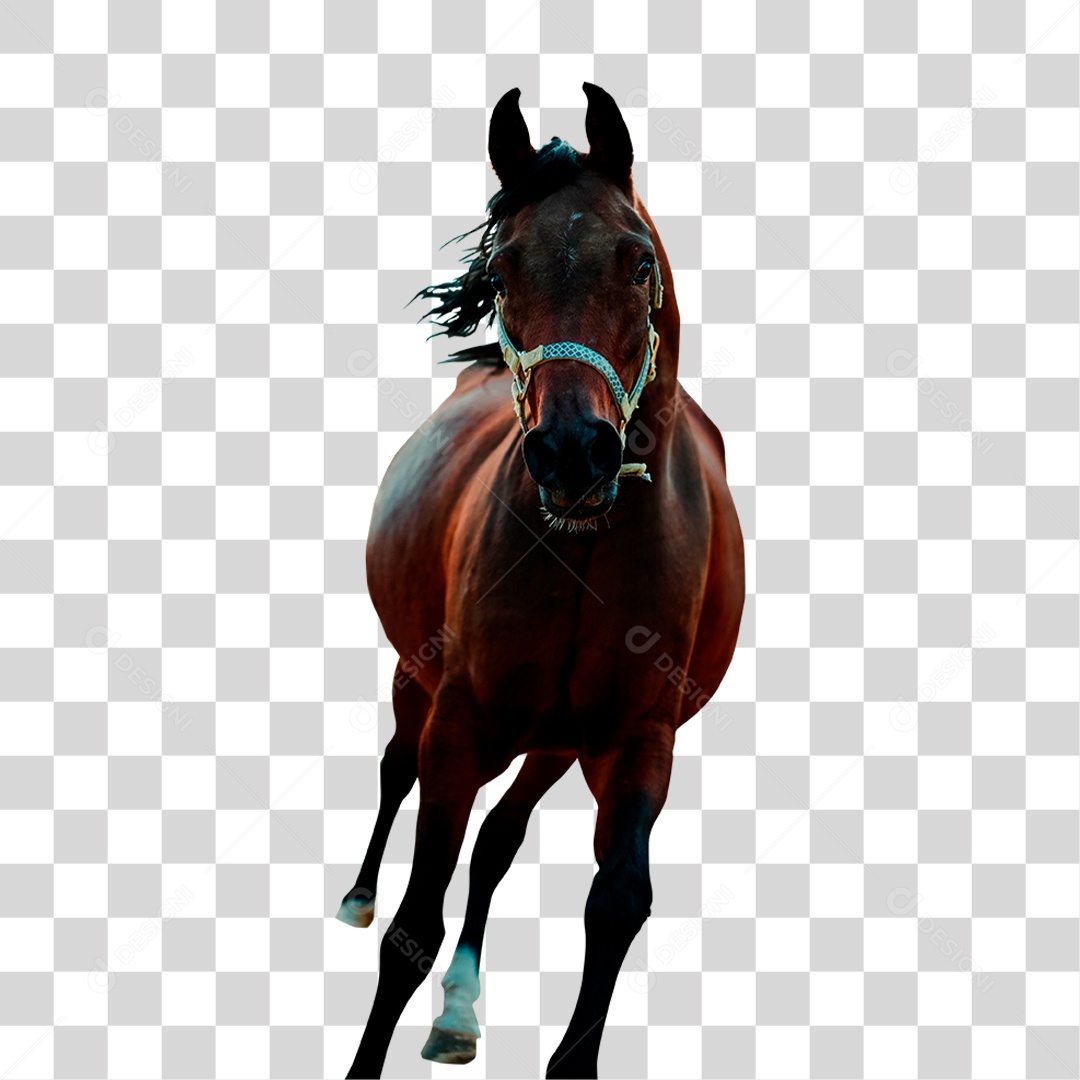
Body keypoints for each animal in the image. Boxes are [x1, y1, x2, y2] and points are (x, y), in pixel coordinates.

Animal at [338, 82, 745, 1079]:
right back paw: (358, 894)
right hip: (418, 679)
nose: (572, 451)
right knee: (394, 771)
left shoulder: (636, 740)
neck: (584, 550)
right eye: (505, 268)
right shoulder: (459, 724)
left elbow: (617, 900)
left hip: (557, 740)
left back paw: (458, 1011)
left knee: (499, 841)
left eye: (638, 264)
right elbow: (411, 924)